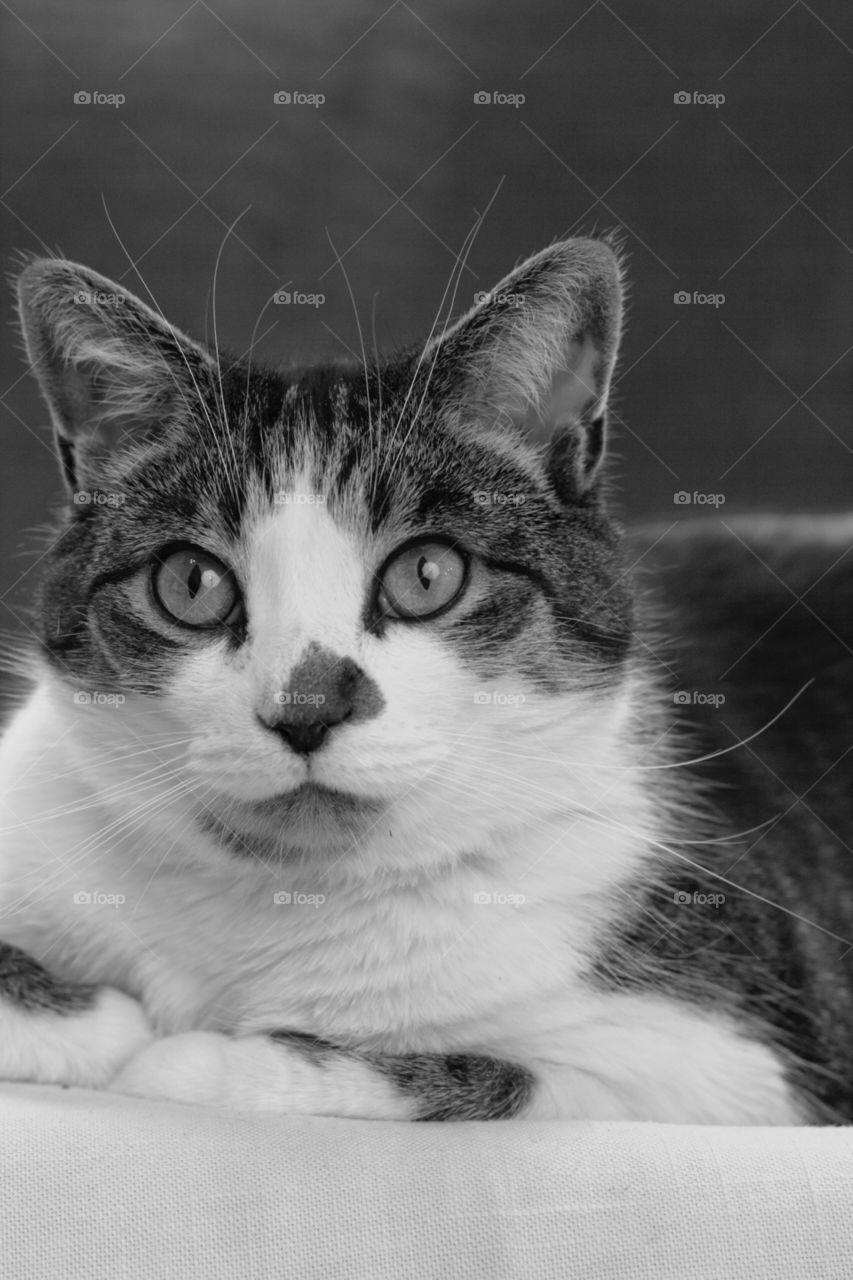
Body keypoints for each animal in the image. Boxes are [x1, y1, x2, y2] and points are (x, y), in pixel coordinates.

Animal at [0, 238, 845, 1121]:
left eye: (428, 574)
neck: (280, 901)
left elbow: (472, 1071)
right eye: (191, 585)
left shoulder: (726, 1067)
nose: (306, 708)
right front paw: (89, 1018)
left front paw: (188, 1056)